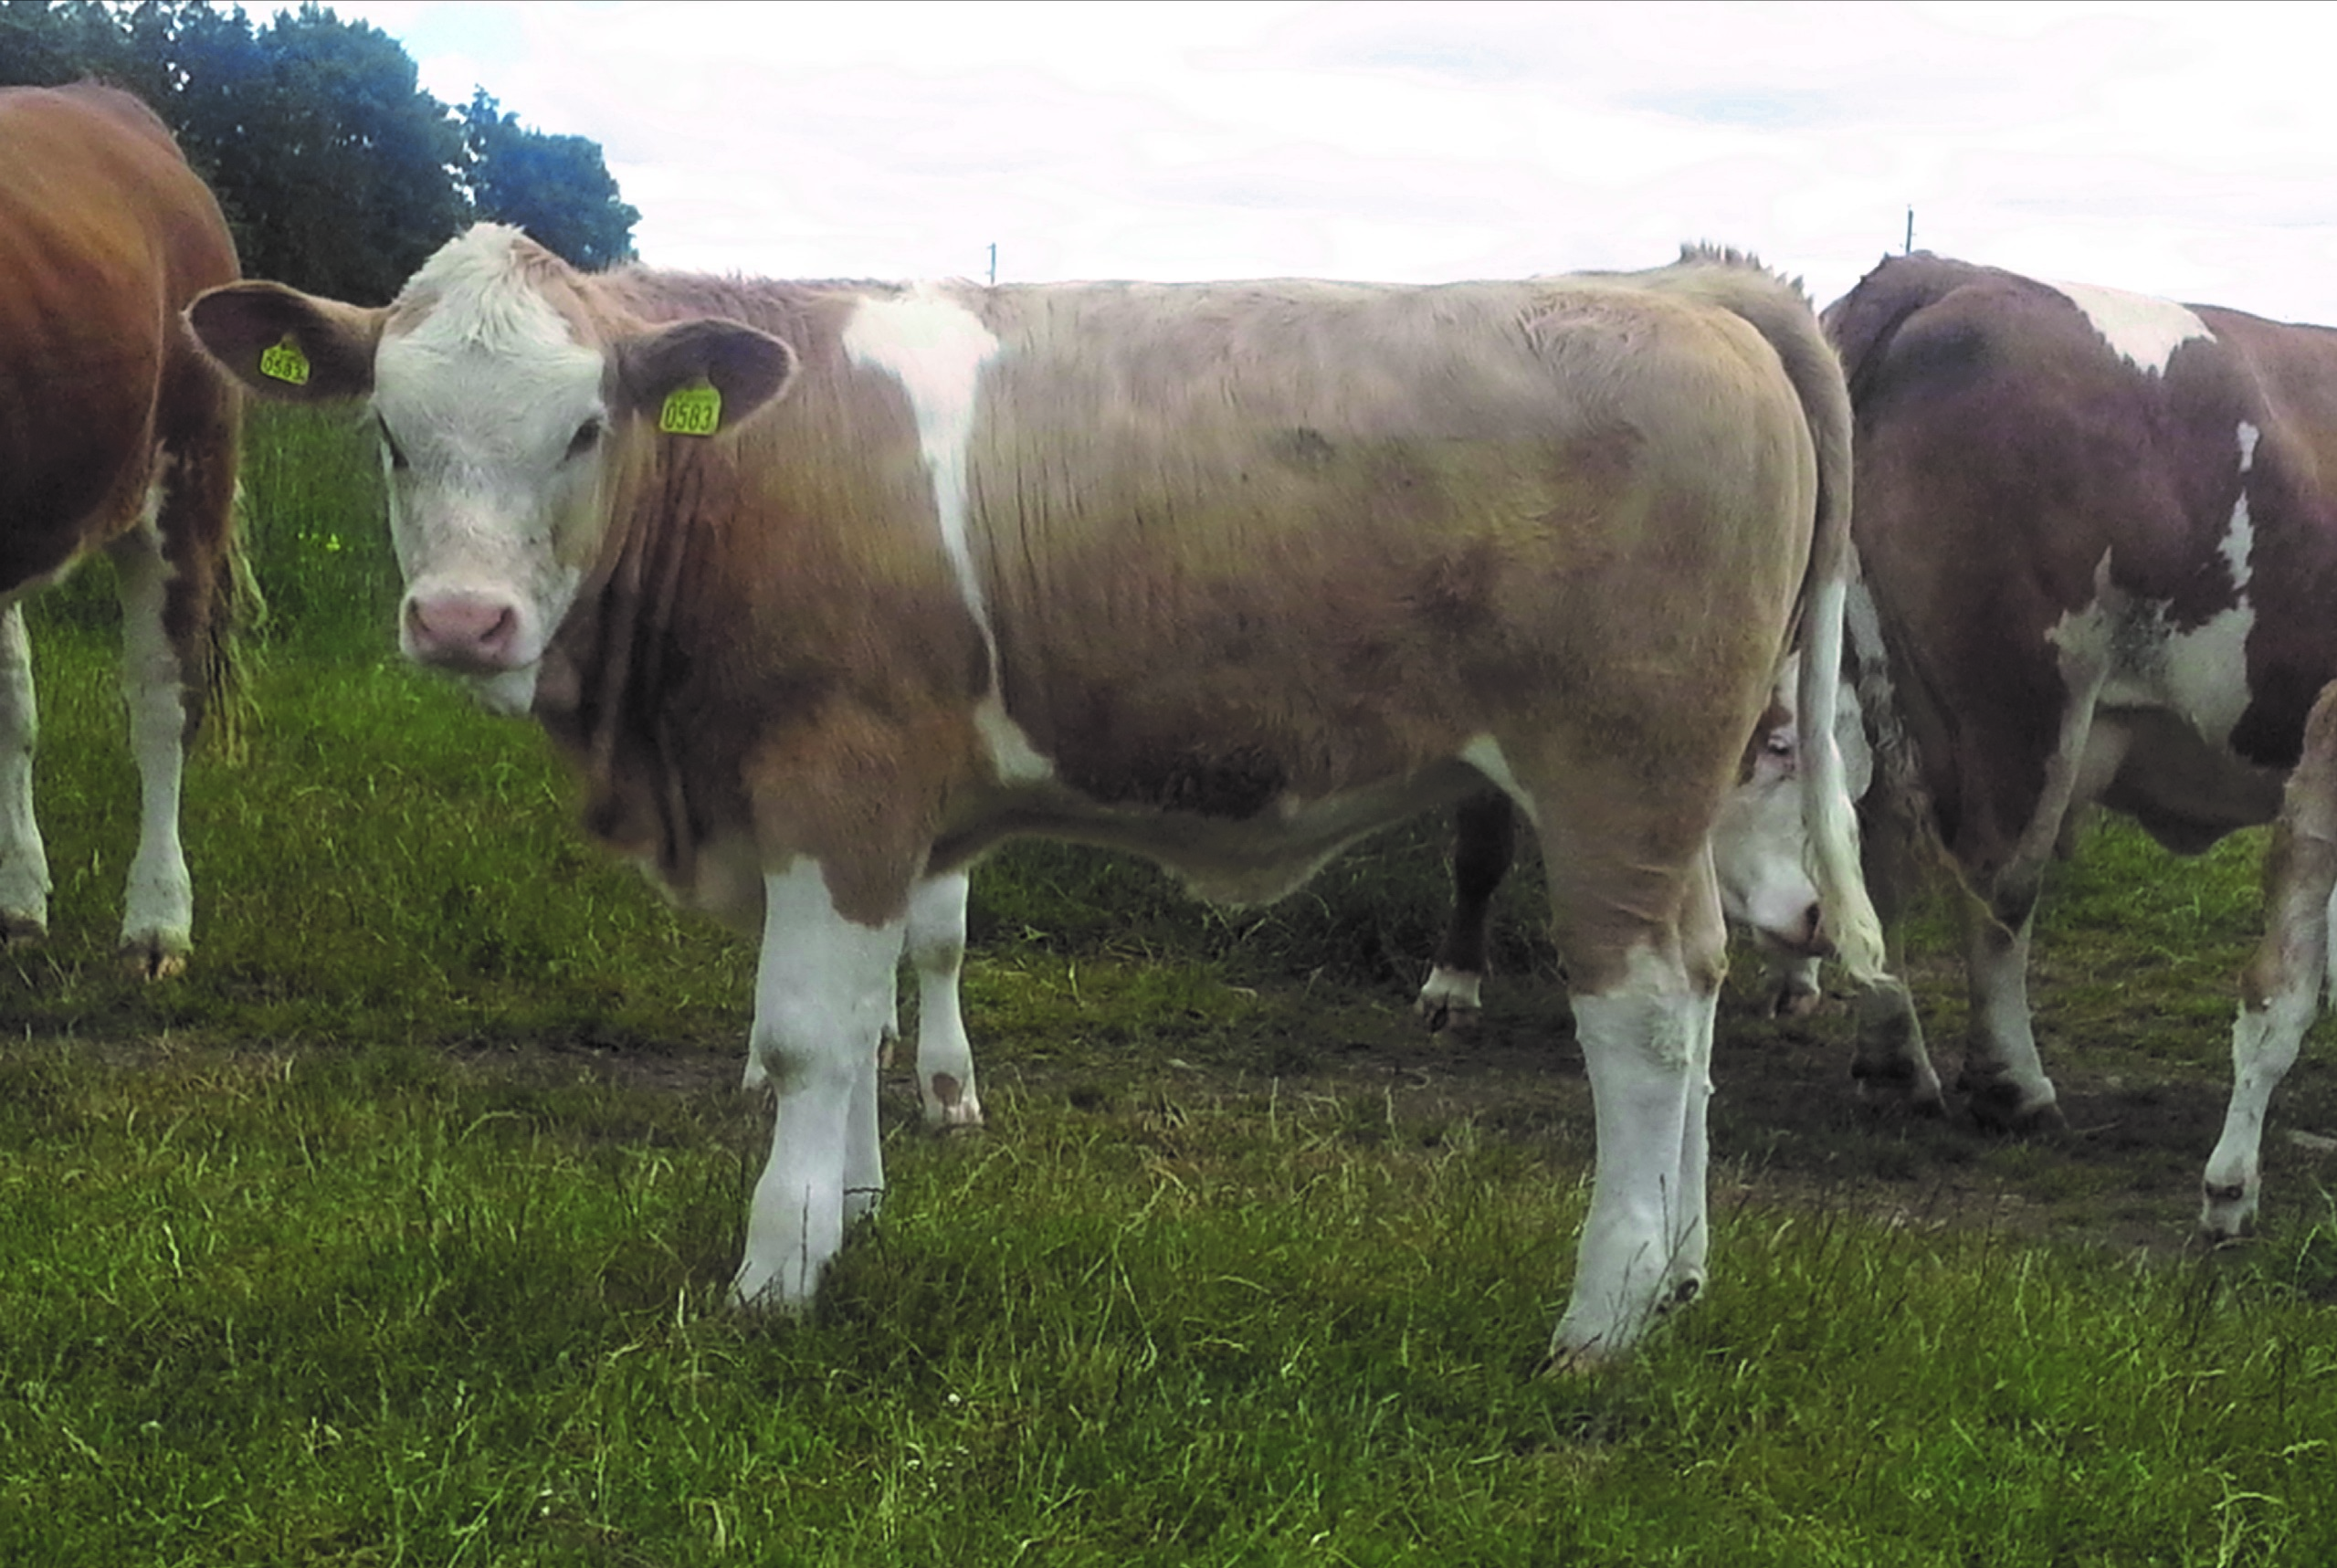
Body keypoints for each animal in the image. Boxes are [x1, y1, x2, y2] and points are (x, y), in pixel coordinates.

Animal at [195, 224, 1879, 1364]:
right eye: (388, 432)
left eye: (582, 428)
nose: (461, 622)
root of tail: (1680, 290)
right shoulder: (885, 815)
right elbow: (871, 1021)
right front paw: (854, 1215)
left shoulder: (837, 780)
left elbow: (807, 1036)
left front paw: (774, 1278)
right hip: (1677, 795)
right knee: (1702, 992)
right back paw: (1680, 1271)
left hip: (1613, 773)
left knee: (1640, 1019)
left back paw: (1600, 1318)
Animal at [1823, 254, 2337, 1243]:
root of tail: (1943, 274)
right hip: (2023, 702)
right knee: (1997, 884)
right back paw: (2012, 1086)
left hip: (1869, 693)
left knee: (1876, 856)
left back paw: (1893, 1063)